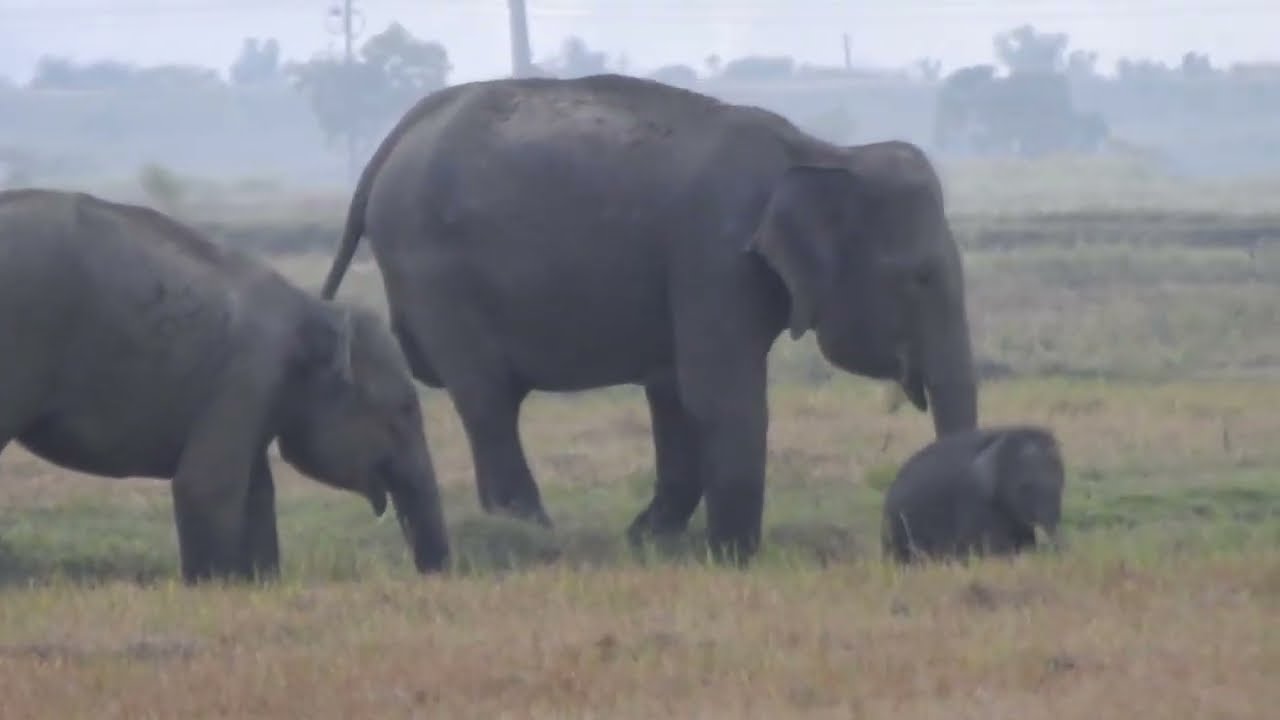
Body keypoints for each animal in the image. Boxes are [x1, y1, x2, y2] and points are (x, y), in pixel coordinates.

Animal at [0, 188, 450, 584]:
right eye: (404, 410)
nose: (433, 574)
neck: (314, 308)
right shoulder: (247, 375)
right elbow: (205, 484)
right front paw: (213, 584)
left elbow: (258, 491)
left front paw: (259, 582)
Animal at [318, 73, 979, 565]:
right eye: (920, 277)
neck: (822, 155)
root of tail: (397, 135)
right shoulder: (713, 253)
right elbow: (720, 396)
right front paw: (733, 557)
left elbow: (676, 394)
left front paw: (649, 542)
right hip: (438, 276)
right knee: (488, 401)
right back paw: (534, 540)